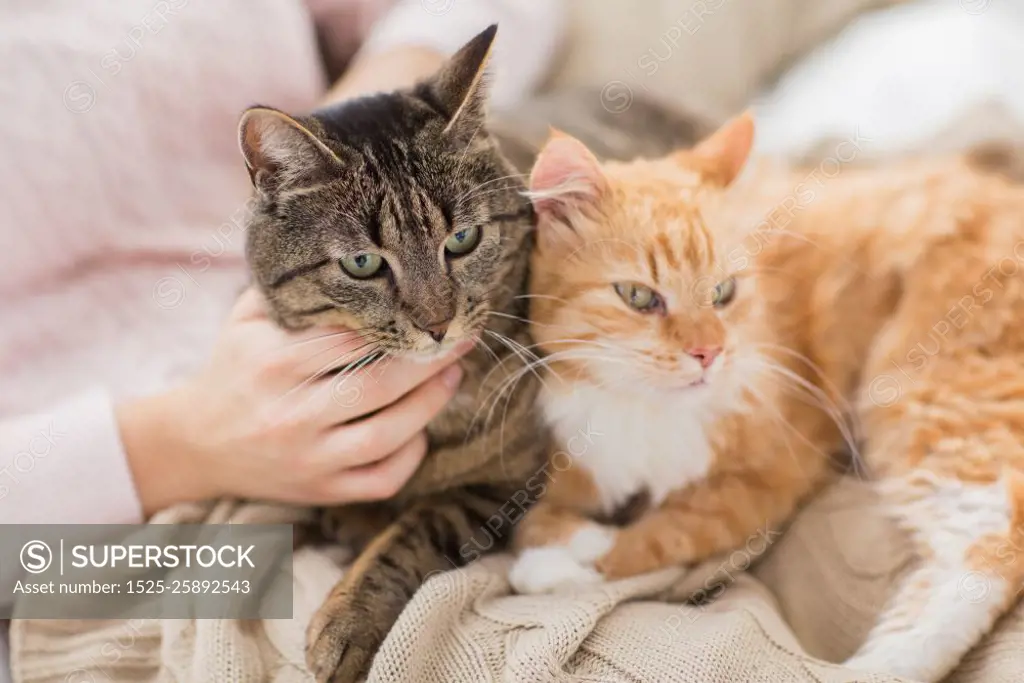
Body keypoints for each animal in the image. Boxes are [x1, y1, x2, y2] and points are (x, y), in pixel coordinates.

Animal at [238, 26, 548, 683]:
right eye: (362, 263)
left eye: (463, 239)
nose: (437, 325)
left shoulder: (508, 480)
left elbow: (411, 533)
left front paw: (350, 617)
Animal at [512, 113, 1024, 683]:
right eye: (639, 297)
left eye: (722, 293)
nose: (709, 353)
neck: (648, 409)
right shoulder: (580, 462)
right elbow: (540, 517)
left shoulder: (766, 483)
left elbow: (657, 537)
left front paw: (558, 564)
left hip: (924, 391)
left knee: (987, 544)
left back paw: (876, 667)